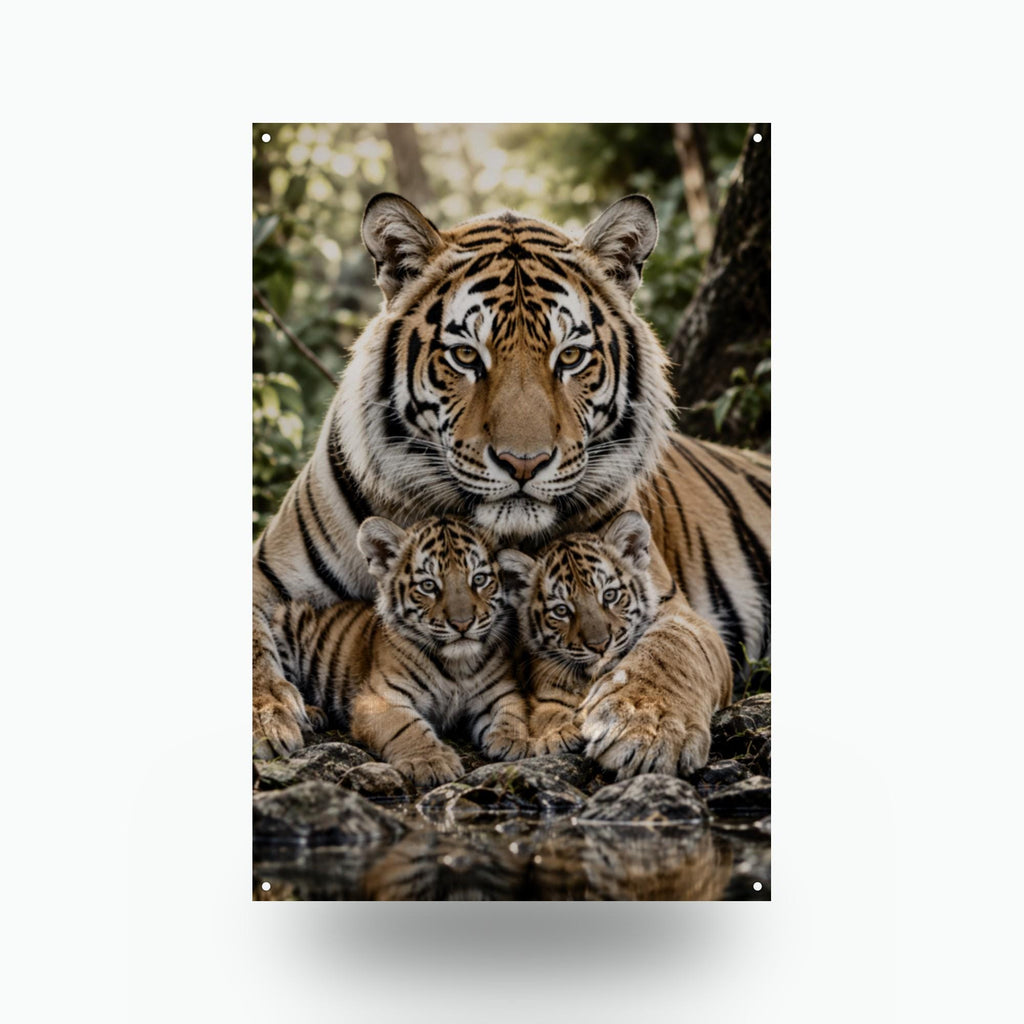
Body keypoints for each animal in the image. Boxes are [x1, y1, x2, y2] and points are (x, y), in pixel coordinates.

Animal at [270, 515, 531, 785]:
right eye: (428, 586)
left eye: (479, 580)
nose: (462, 623)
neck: (456, 665)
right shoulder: (380, 699)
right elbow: (406, 727)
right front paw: (431, 761)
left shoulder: (499, 689)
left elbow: (512, 710)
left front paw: (513, 740)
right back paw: (309, 713)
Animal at [501, 510, 659, 761]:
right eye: (561, 610)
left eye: (610, 595)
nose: (600, 645)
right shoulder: (544, 694)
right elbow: (549, 713)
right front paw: (559, 734)